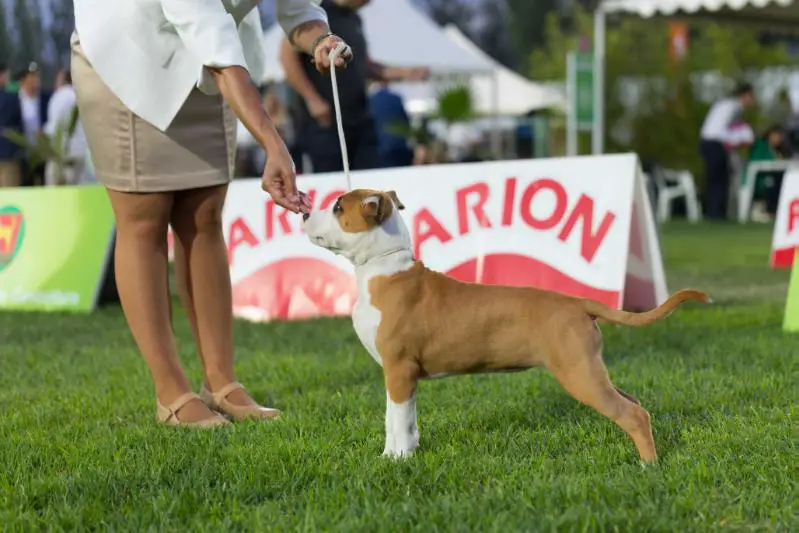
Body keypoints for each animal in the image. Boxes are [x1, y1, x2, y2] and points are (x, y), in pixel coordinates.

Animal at [304, 189, 708, 460]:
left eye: (338, 206)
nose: (304, 211)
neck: (383, 268)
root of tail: (577, 302)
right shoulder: (397, 377)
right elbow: (398, 419)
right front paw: (395, 454)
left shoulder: (399, 370)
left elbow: (399, 421)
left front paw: (399, 461)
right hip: (589, 369)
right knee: (635, 404)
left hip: (578, 373)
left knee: (632, 414)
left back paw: (648, 465)